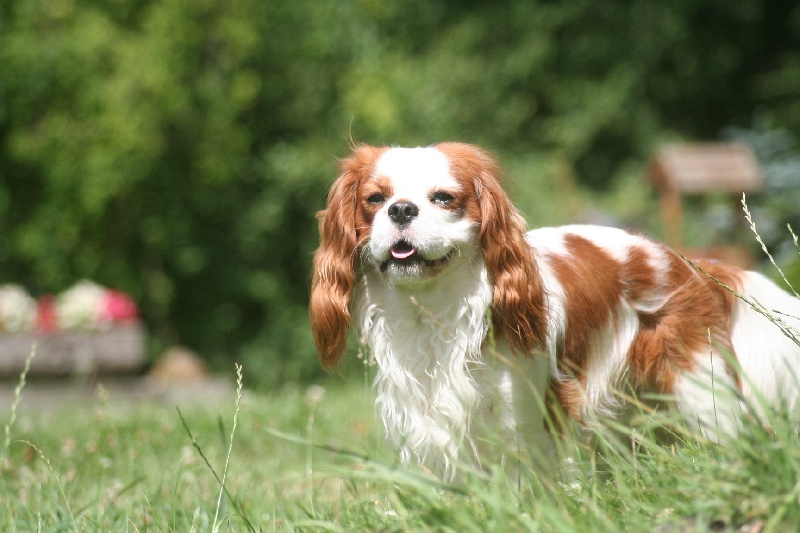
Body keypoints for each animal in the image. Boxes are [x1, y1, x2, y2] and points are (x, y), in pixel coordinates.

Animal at [310, 141, 800, 478]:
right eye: (375, 199)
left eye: (443, 198)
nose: (401, 209)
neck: (433, 313)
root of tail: (688, 264)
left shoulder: (526, 419)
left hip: (697, 386)